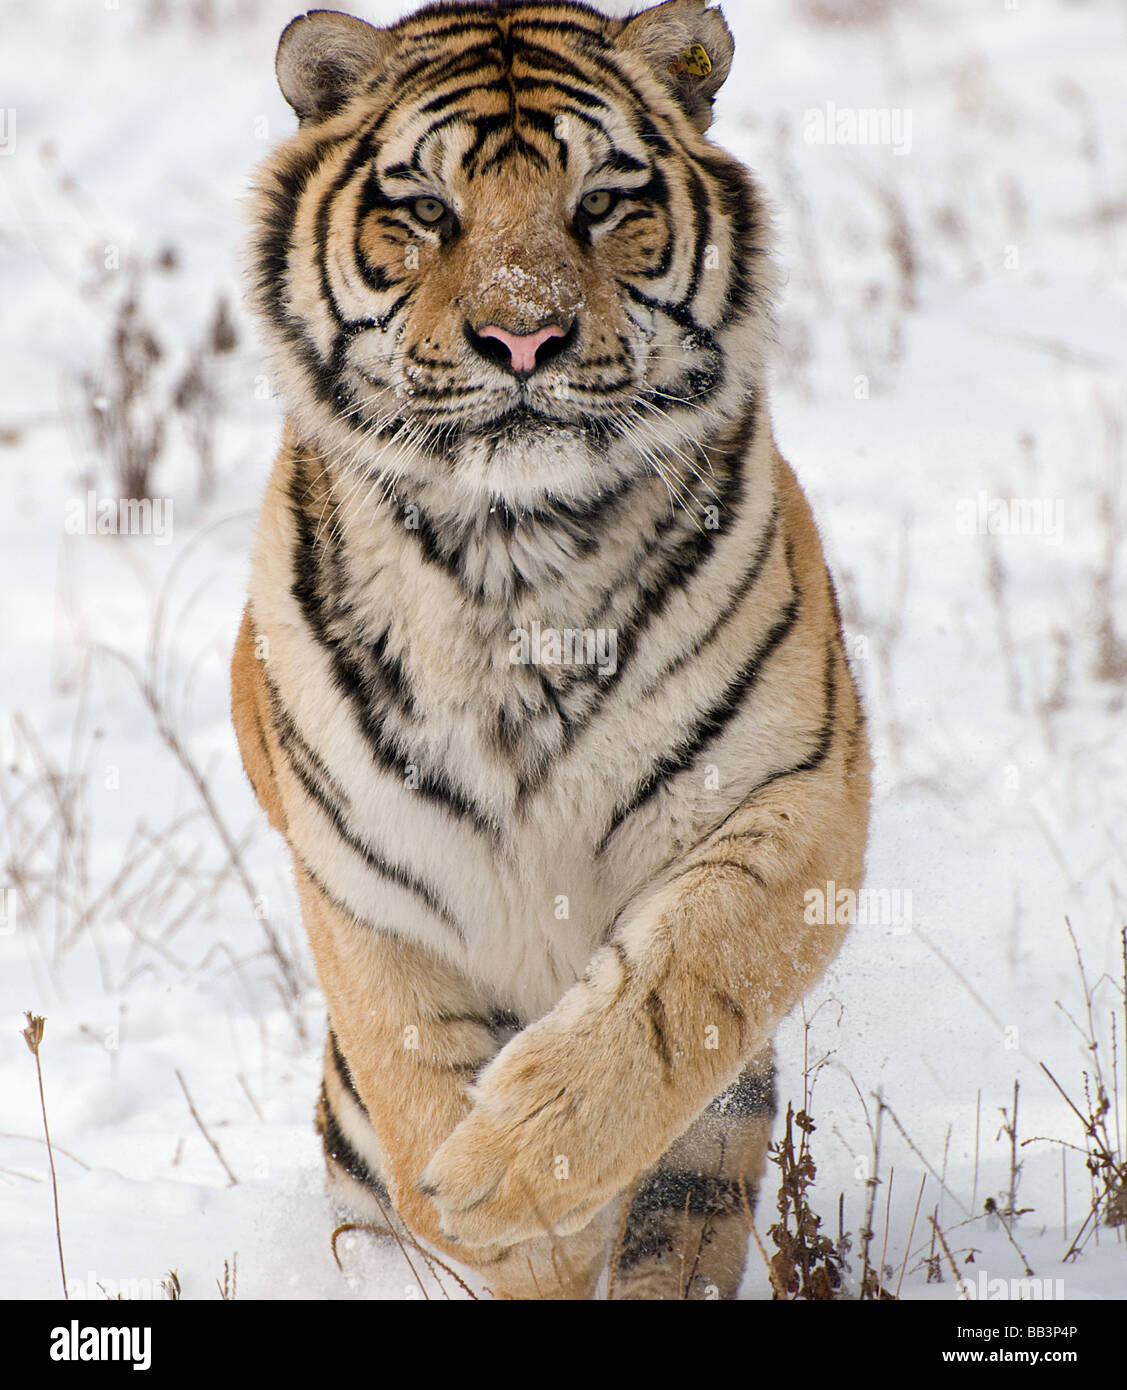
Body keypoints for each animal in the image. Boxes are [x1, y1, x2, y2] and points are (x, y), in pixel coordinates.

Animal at [232, 0, 872, 1301]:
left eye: (601, 203)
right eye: (426, 208)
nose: (519, 337)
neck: (511, 556)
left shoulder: (801, 788)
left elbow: (684, 980)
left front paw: (522, 1172)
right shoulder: (359, 873)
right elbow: (409, 1054)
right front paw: (500, 1222)